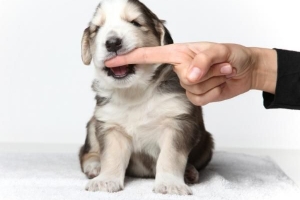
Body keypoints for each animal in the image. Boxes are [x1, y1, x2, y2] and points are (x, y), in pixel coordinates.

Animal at [78, 0, 212, 195]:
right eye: (98, 28)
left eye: (135, 22)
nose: (112, 43)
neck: (134, 92)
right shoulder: (111, 125)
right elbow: (111, 156)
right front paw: (105, 180)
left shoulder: (177, 121)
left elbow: (170, 156)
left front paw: (170, 184)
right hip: (93, 124)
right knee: (86, 152)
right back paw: (95, 167)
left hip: (207, 144)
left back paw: (189, 172)